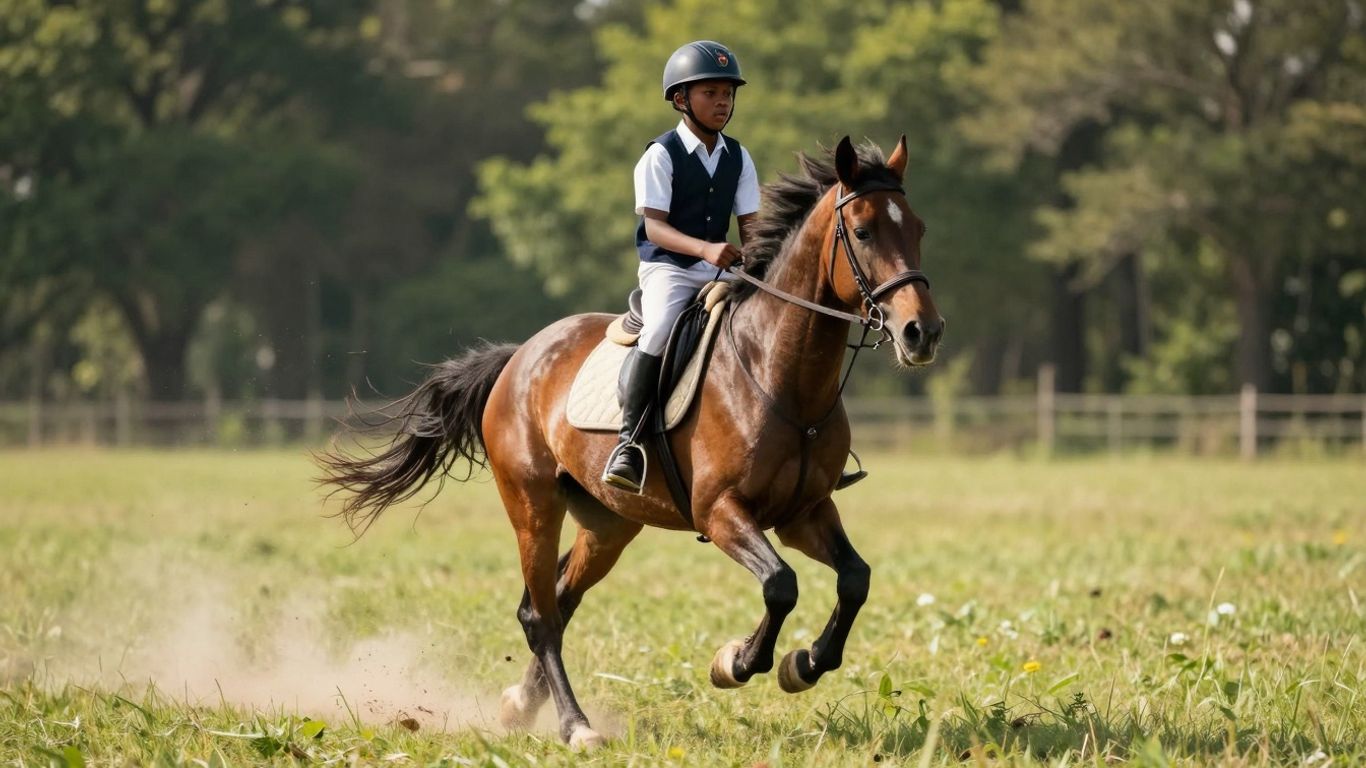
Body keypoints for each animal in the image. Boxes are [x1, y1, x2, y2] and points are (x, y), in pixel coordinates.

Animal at [317, 135, 944, 749]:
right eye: (862, 231)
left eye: (918, 228)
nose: (923, 333)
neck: (779, 373)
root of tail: (520, 357)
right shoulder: (720, 512)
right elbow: (780, 585)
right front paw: (736, 662)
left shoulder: (804, 512)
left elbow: (855, 580)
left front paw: (804, 664)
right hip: (532, 508)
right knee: (543, 617)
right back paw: (576, 727)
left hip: (609, 524)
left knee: (558, 599)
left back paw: (522, 705)